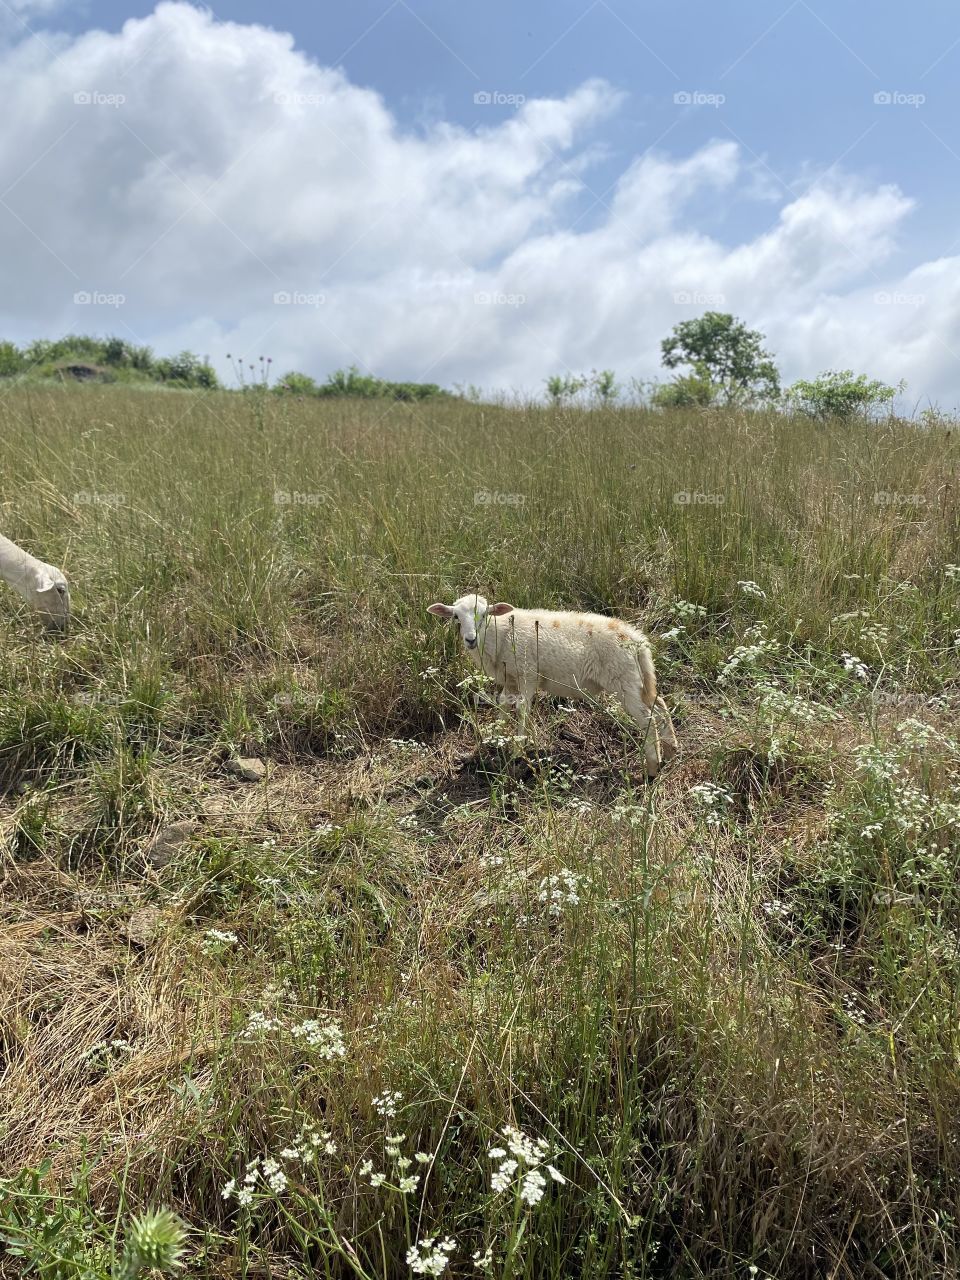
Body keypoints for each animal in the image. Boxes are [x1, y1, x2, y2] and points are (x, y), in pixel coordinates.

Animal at [427, 593, 675, 773]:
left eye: (485, 614)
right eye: (456, 617)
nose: (470, 639)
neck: (501, 632)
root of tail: (638, 640)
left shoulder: (528, 674)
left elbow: (522, 709)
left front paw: (518, 749)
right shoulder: (510, 679)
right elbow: (503, 706)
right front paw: (494, 739)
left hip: (623, 681)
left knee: (648, 718)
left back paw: (652, 767)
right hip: (636, 680)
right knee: (660, 707)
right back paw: (671, 749)